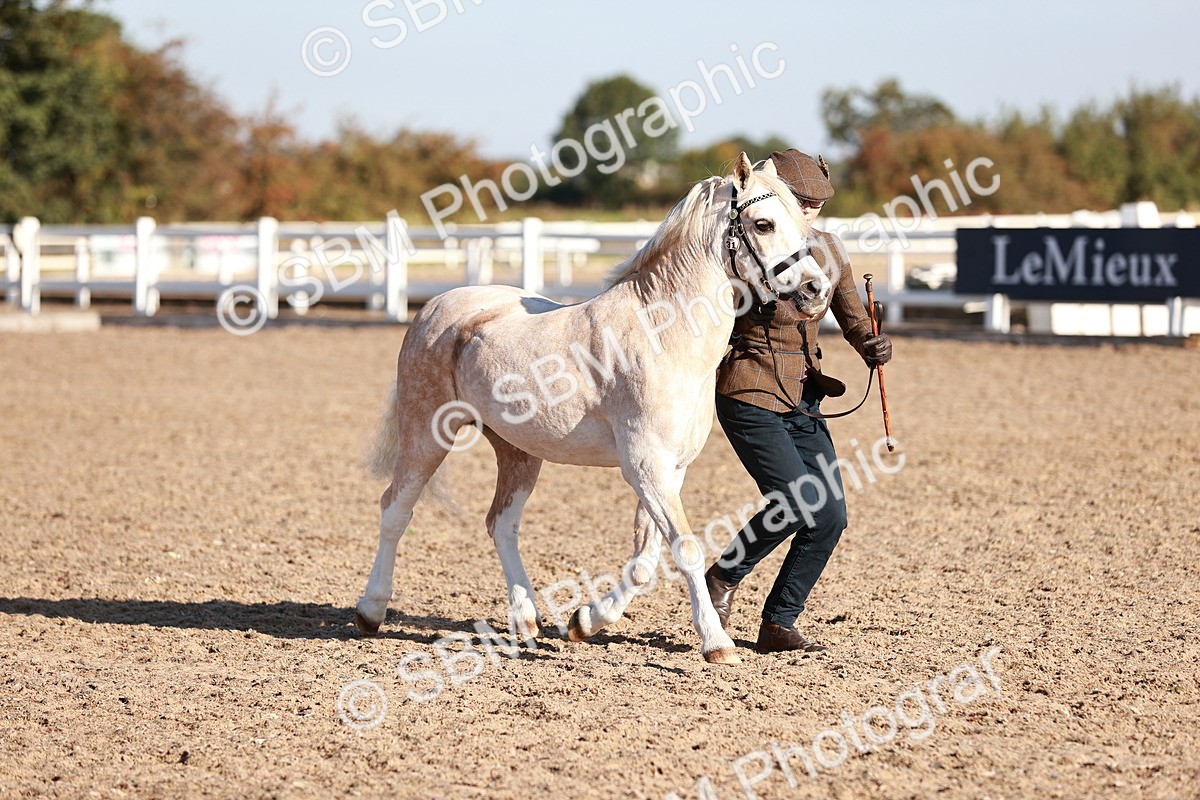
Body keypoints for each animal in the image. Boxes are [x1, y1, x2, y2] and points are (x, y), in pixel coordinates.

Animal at [355, 153, 833, 663]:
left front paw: (585, 621)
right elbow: (684, 549)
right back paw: (370, 611)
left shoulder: (670, 470)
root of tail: (434, 308)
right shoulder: (645, 466)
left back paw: (527, 622)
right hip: (427, 433)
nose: (816, 290)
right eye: (763, 224)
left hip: (518, 451)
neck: (661, 333)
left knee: (501, 524)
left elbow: (645, 559)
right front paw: (717, 644)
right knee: (395, 510)